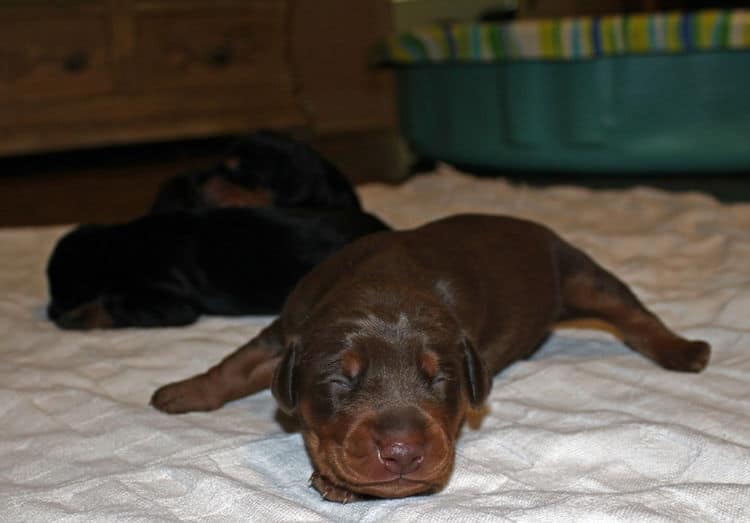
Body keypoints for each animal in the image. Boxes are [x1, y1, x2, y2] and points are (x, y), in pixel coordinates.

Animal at [47, 208, 390, 328]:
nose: (50, 312)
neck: (119, 246)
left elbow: (112, 304)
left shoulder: (172, 304)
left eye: (62, 293)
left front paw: (77, 317)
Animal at [151, 214, 712, 504]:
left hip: (577, 273)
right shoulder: (286, 327)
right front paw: (180, 392)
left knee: (633, 315)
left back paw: (683, 350)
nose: (402, 453)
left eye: (440, 379)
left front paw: (334, 482)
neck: (382, 289)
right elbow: (234, 365)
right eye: (339, 381)